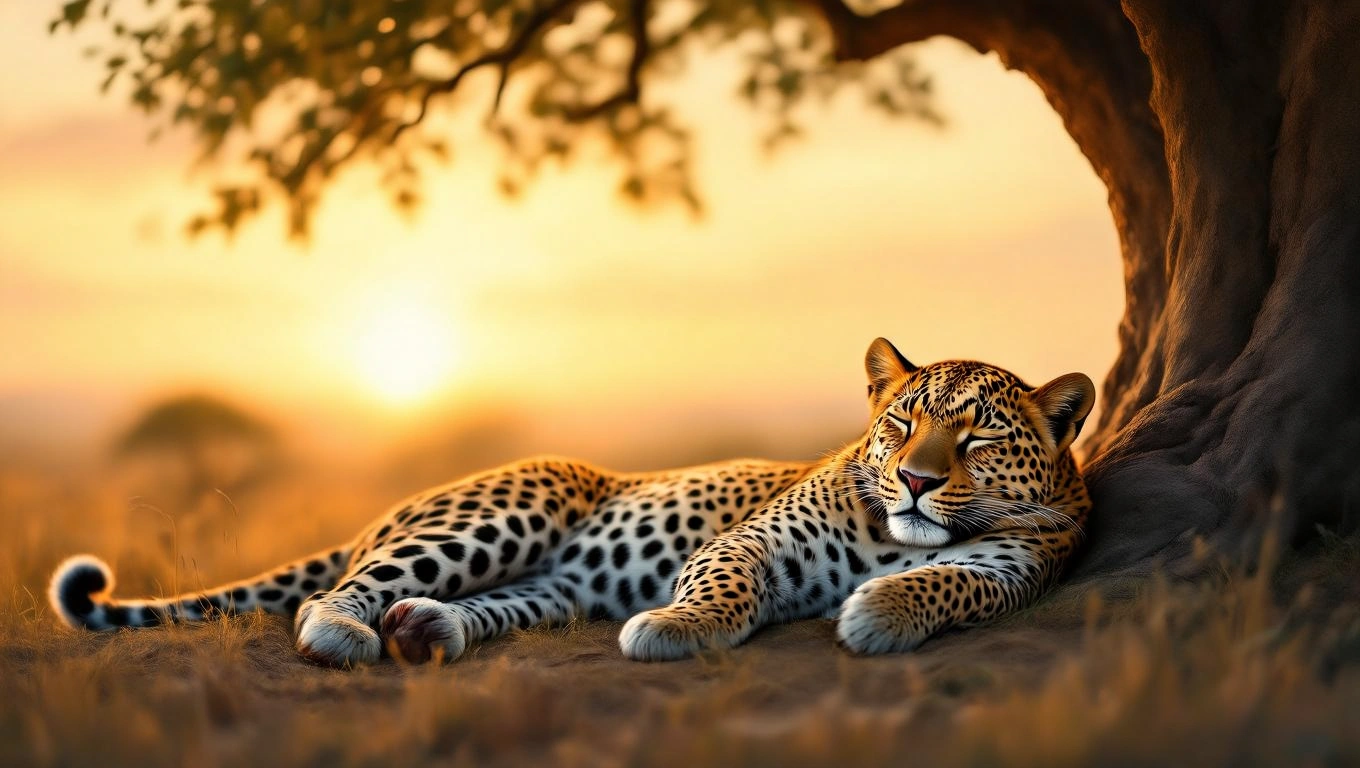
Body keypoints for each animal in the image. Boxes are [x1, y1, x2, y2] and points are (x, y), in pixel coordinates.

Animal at [49, 337, 1095, 666]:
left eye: (977, 437)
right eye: (902, 424)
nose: (916, 479)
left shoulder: (1018, 564)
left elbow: (950, 583)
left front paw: (882, 611)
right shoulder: (756, 540)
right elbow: (723, 584)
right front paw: (674, 627)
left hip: (549, 584)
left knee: (483, 603)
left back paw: (427, 629)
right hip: (502, 514)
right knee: (333, 590)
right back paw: (348, 631)